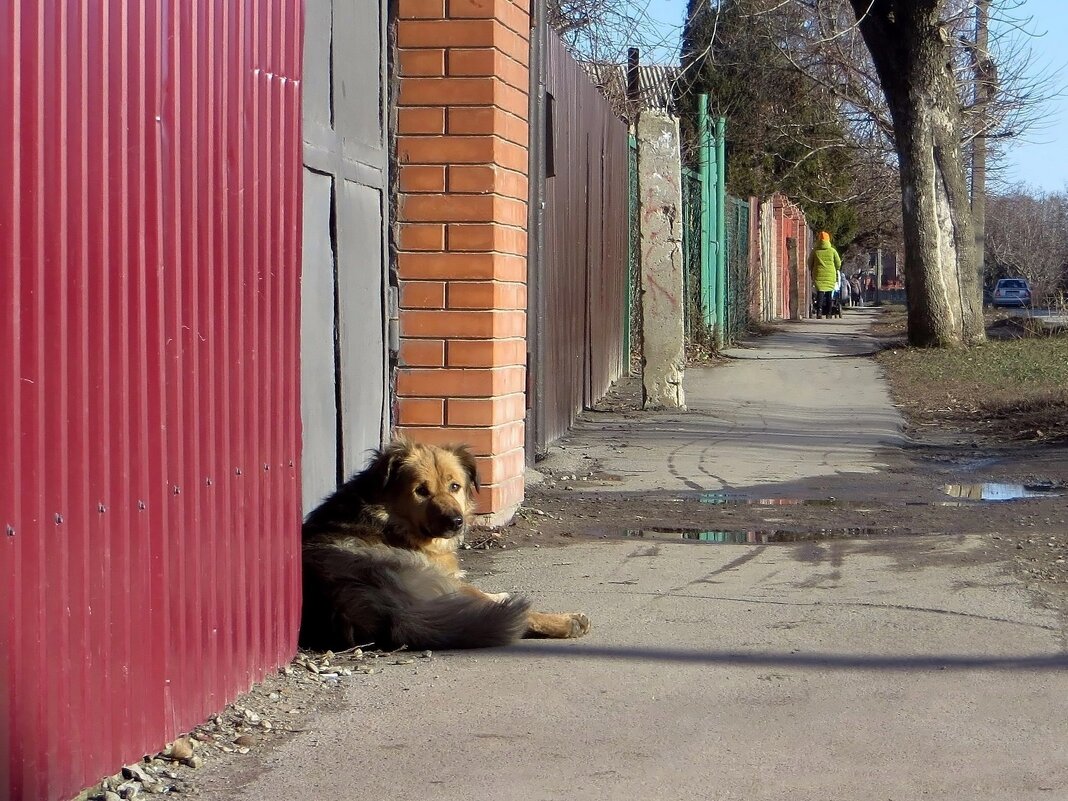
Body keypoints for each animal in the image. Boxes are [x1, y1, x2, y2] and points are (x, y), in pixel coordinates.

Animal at [299, 440, 593, 653]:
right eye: (421, 491)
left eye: (455, 486)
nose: (456, 522)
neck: (388, 520)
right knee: (518, 614)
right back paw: (568, 621)